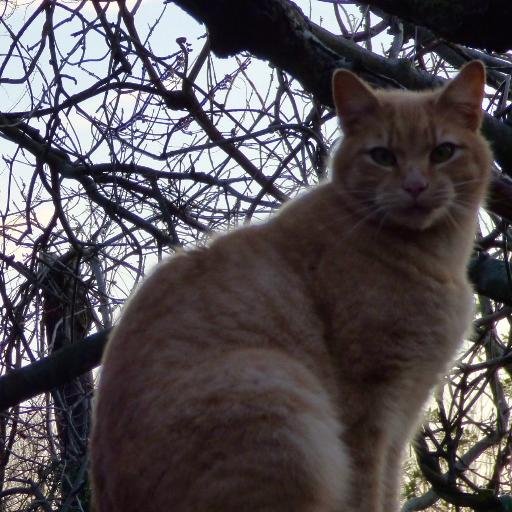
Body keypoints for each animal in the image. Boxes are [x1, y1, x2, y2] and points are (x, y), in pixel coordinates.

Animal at [91, 61, 492, 512]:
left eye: (442, 152)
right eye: (382, 156)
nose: (415, 186)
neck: (435, 256)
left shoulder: (401, 417)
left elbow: (386, 490)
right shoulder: (369, 410)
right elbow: (365, 492)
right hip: (274, 391)